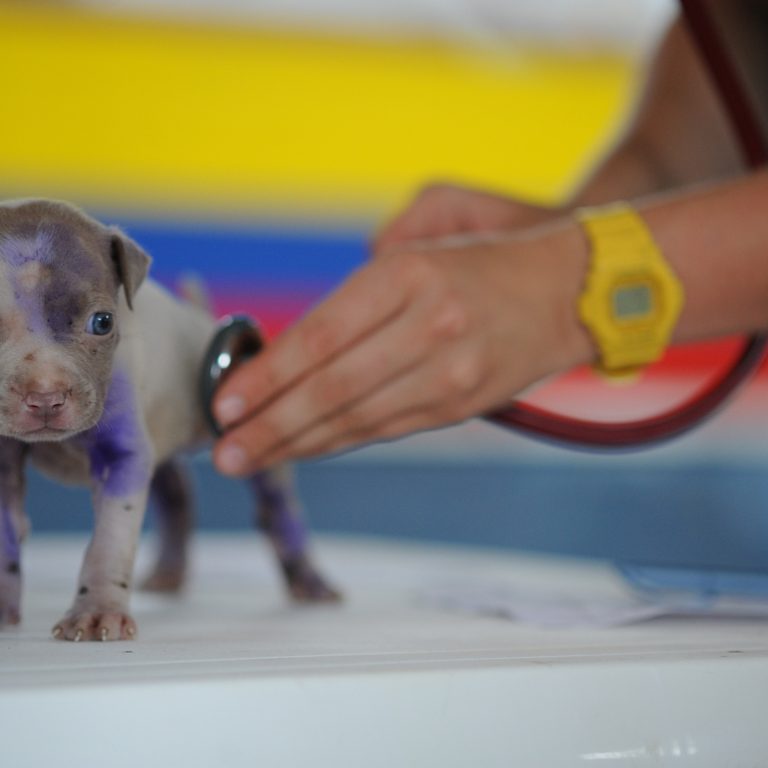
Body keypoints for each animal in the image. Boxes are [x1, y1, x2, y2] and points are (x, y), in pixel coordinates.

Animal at [0, 200, 340, 640]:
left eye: (103, 322)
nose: (45, 396)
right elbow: (6, 537)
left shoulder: (123, 457)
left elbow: (109, 541)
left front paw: (96, 611)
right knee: (178, 492)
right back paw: (169, 573)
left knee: (278, 508)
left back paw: (310, 581)